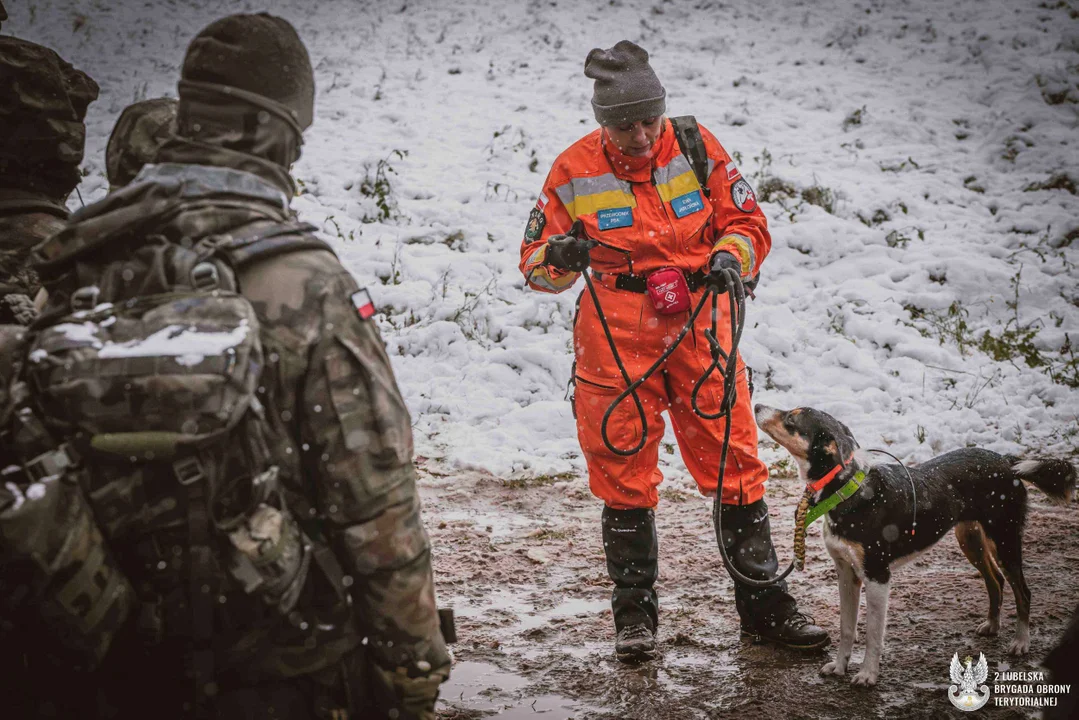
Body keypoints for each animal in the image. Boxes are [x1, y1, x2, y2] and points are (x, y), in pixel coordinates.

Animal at [755, 405, 1074, 686]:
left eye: (792, 418)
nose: (756, 405)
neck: (848, 492)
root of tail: (1008, 462)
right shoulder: (846, 573)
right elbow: (846, 628)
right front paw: (840, 667)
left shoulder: (877, 576)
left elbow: (872, 634)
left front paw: (867, 675)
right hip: (970, 540)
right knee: (995, 581)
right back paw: (993, 625)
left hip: (1005, 539)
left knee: (1023, 591)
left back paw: (1021, 642)